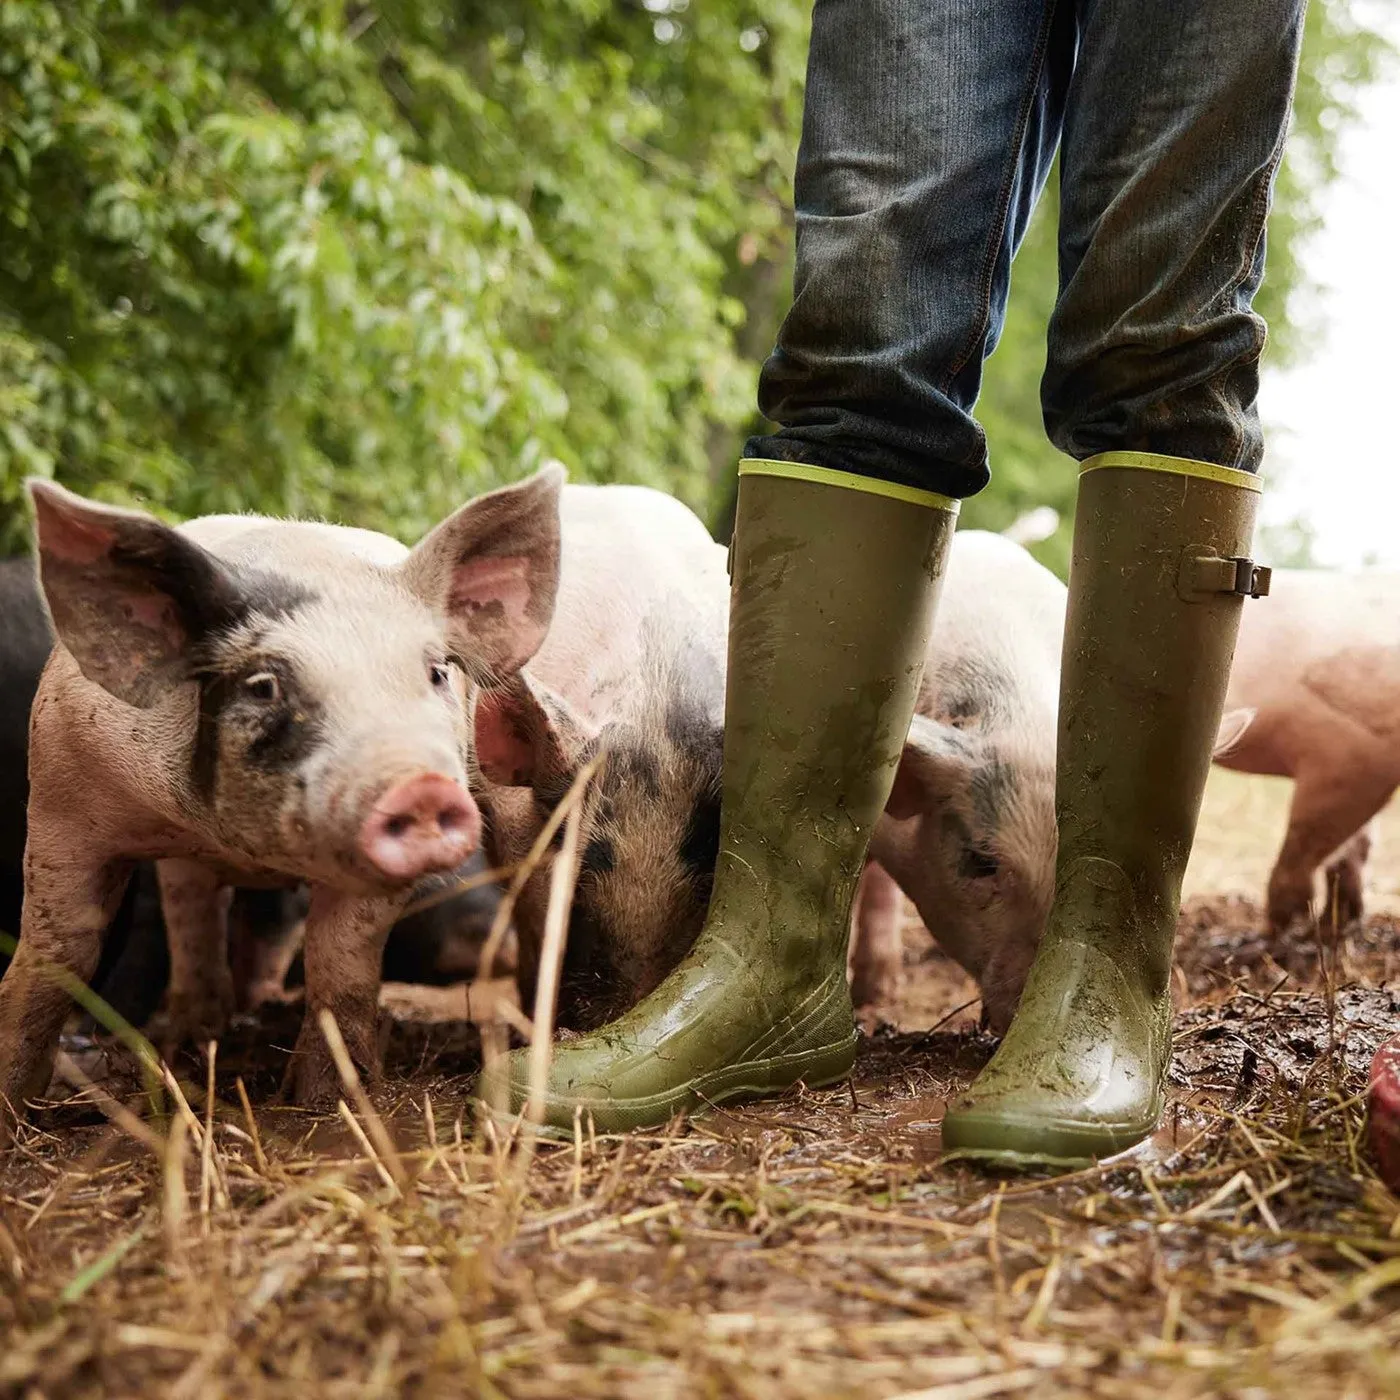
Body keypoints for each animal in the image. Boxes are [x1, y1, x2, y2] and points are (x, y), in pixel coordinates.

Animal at [1, 470, 557, 1136]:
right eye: (264, 686)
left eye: (437, 674)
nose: (420, 788)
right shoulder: (61, 793)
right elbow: (56, 952)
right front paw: (11, 1104)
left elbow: (341, 964)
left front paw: (329, 1100)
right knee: (190, 913)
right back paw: (194, 1034)